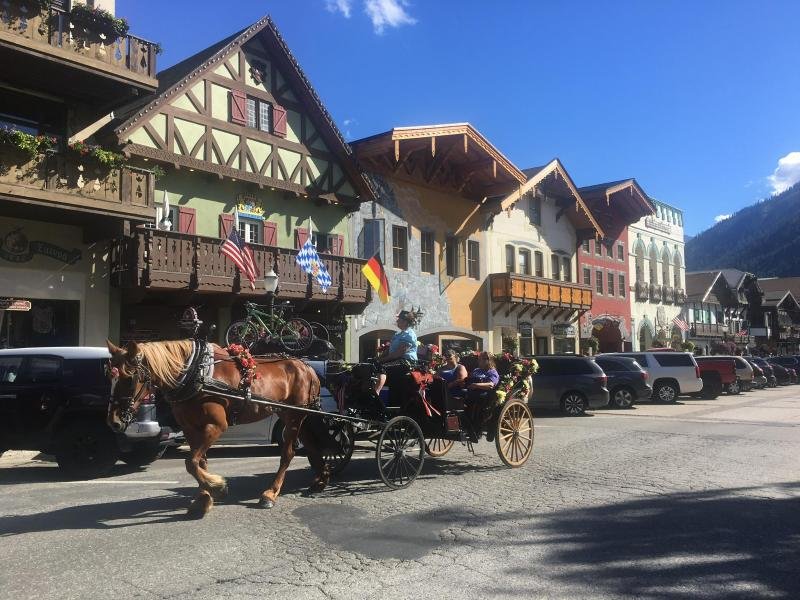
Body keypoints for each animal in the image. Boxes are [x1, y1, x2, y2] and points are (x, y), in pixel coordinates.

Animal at [104, 340, 326, 516]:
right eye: (109, 376)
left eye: (129, 378)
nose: (114, 421)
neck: (195, 374)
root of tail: (307, 367)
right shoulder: (191, 429)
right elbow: (199, 462)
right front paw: (204, 498)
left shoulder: (216, 426)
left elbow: (191, 462)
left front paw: (217, 488)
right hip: (292, 415)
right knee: (312, 445)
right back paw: (321, 480)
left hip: (294, 417)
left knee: (288, 453)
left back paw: (270, 493)